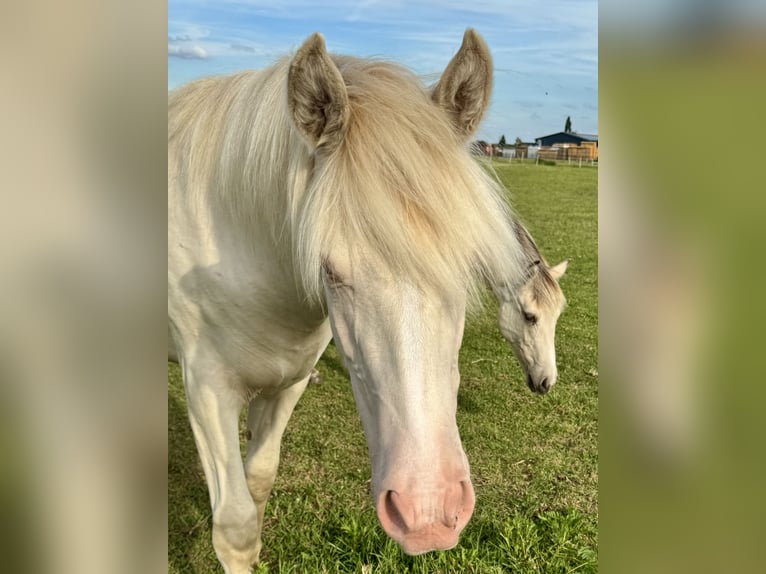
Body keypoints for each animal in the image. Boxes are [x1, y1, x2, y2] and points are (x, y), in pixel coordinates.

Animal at [168, 29, 567, 573]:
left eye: (468, 265)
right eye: (329, 271)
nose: (428, 513)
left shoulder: (287, 382)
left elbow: (259, 481)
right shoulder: (206, 390)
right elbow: (235, 526)